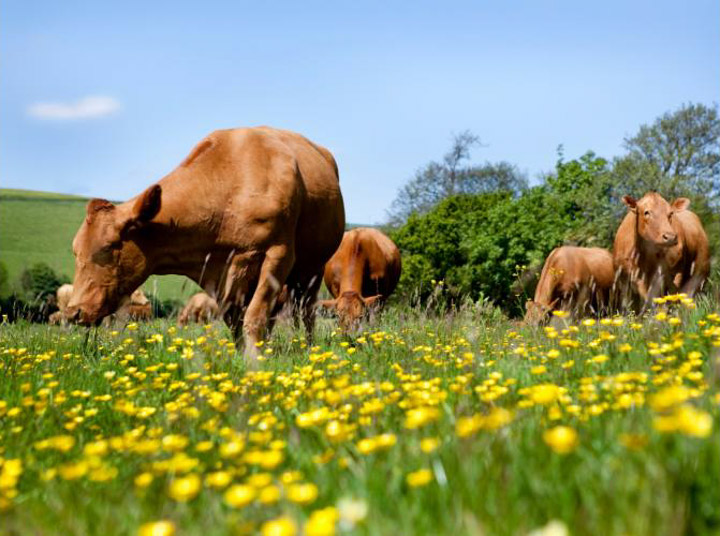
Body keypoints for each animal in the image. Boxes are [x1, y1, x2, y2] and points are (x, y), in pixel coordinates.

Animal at [65, 126, 346, 360]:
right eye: (76, 251)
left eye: (107, 247)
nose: (73, 312)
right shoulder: (219, 274)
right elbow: (235, 319)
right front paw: (242, 354)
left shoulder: (278, 255)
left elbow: (255, 315)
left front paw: (254, 360)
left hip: (312, 270)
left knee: (306, 312)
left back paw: (308, 348)